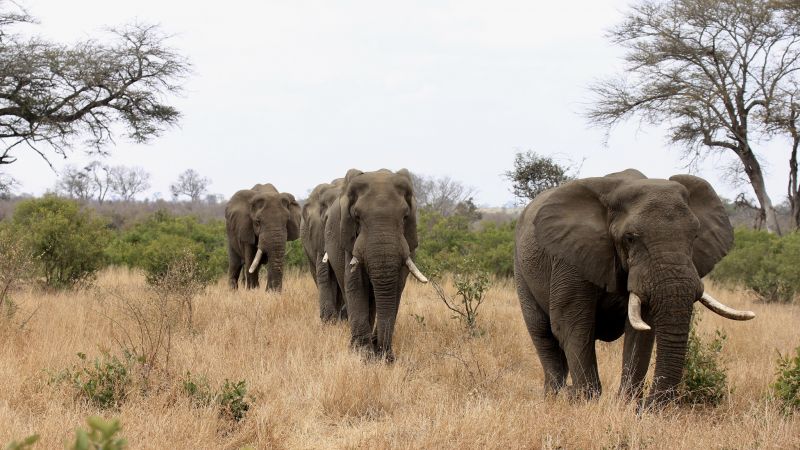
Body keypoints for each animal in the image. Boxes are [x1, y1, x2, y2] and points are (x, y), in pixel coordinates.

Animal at [324, 169, 428, 362]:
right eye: (357, 216)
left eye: (405, 217)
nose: (387, 356)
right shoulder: (349, 239)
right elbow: (355, 285)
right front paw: (364, 356)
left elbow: (396, 287)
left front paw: (382, 356)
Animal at [512, 169, 756, 408]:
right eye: (630, 238)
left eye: (695, 235)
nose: (648, 405)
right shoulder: (571, 258)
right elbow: (572, 325)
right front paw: (585, 402)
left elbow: (642, 330)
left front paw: (626, 405)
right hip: (521, 270)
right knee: (542, 332)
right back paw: (554, 398)